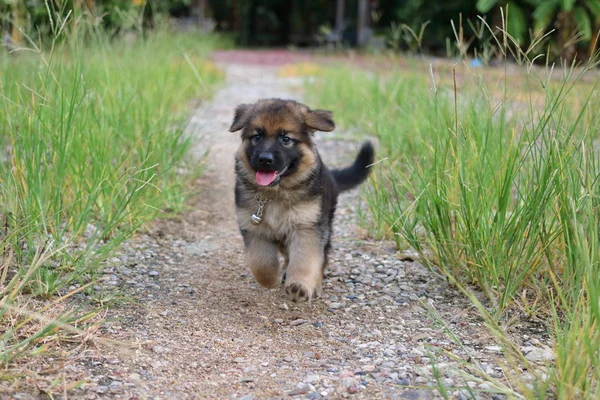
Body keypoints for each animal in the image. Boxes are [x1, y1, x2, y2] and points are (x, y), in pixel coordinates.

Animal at [230, 98, 376, 302]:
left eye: (286, 139)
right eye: (257, 137)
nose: (265, 159)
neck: (275, 194)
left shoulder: (307, 228)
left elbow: (305, 260)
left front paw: (299, 286)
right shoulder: (254, 229)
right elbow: (260, 263)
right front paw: (272, 280)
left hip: (325, 226)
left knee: (322, 258)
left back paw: (315, 285)